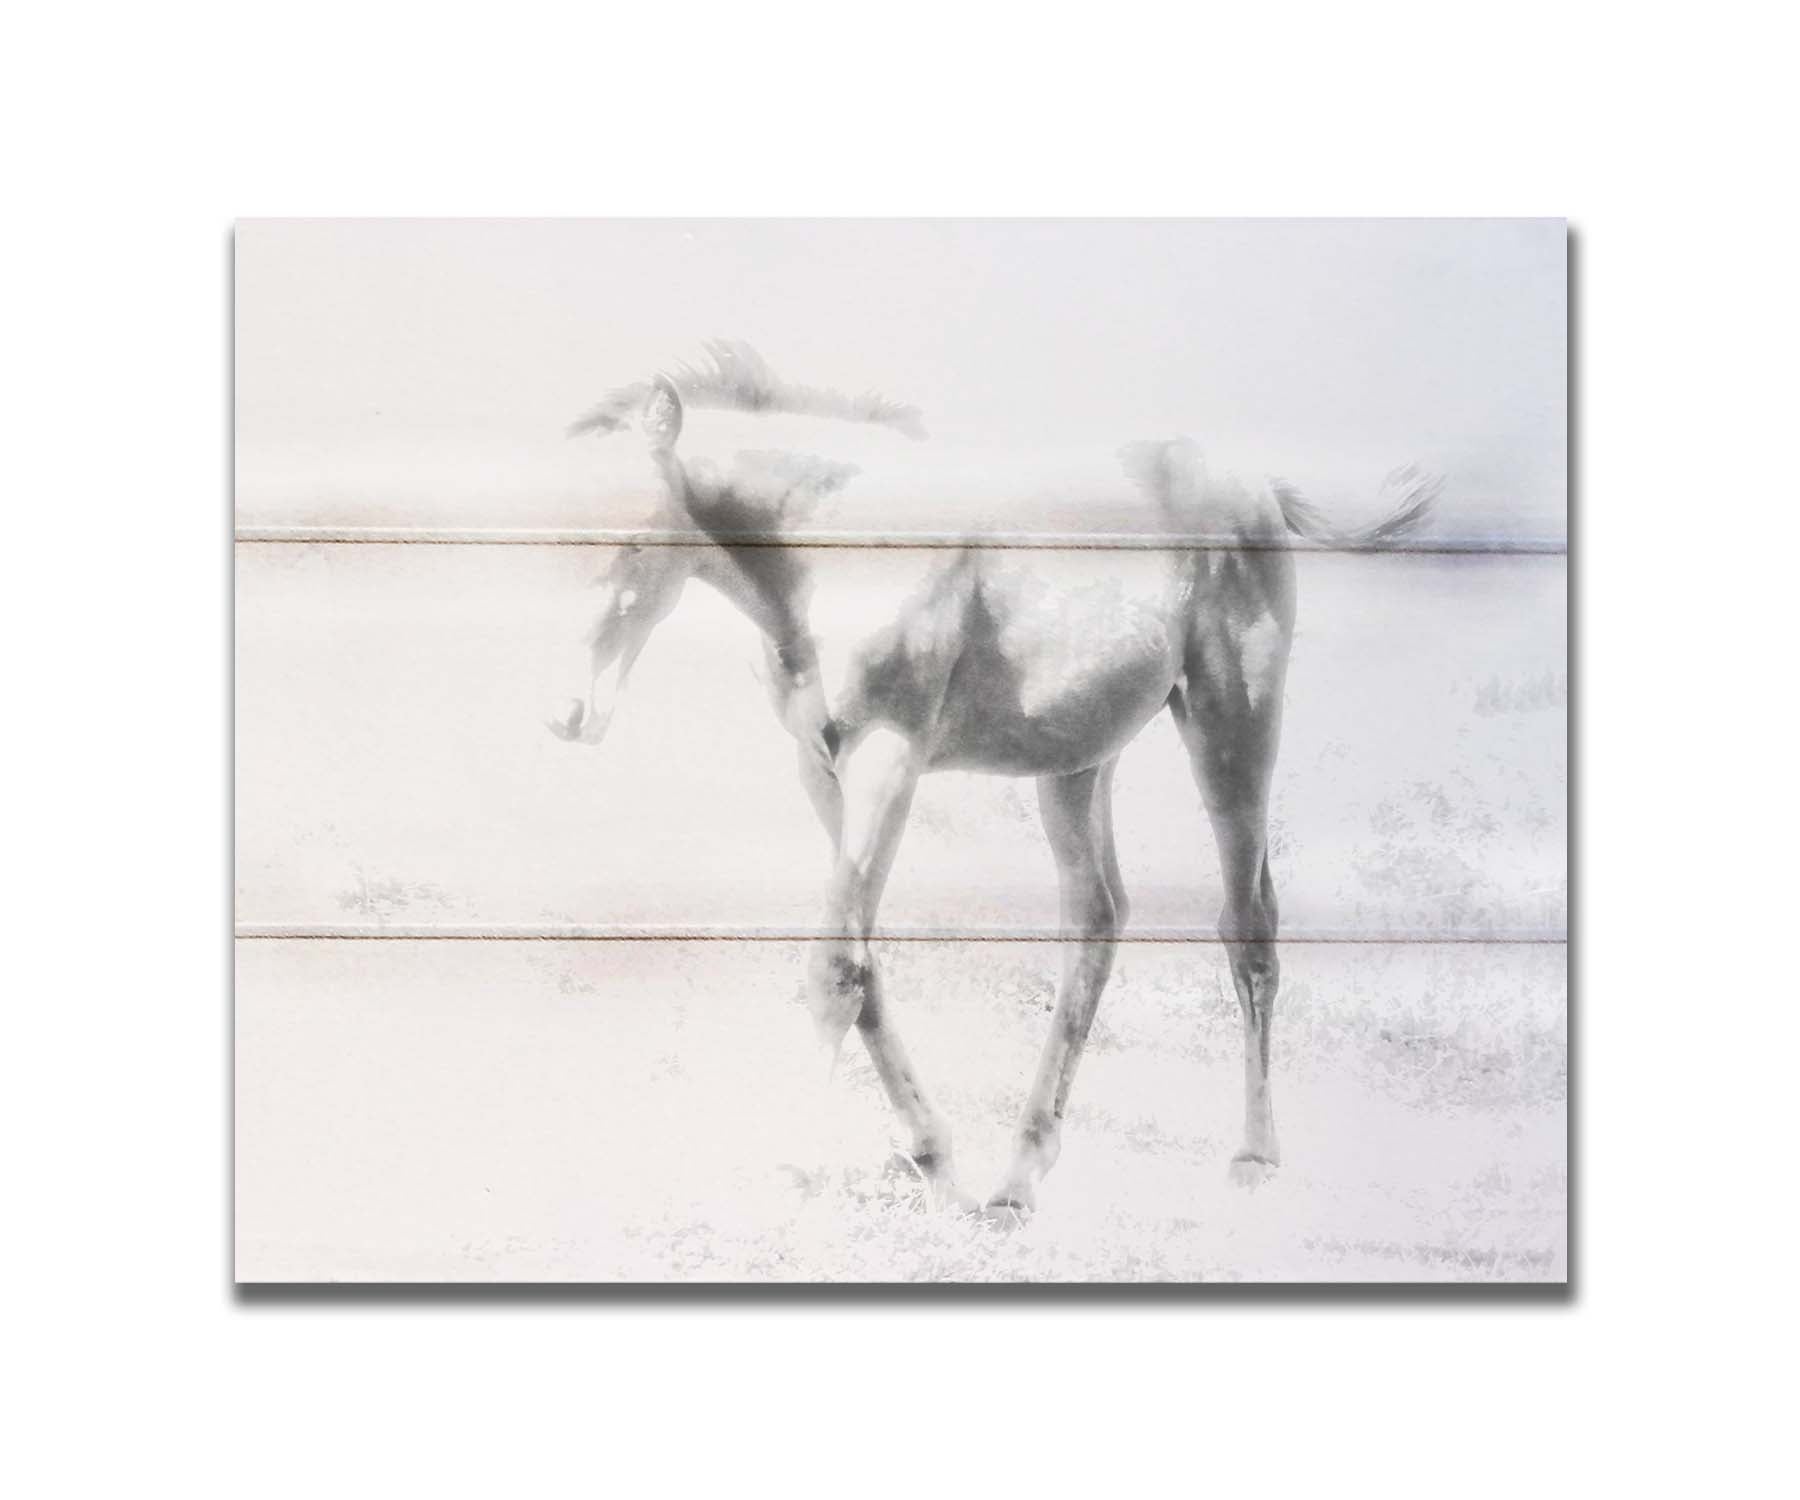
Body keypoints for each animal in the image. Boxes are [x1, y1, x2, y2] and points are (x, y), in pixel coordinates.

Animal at [547, 347, 1432, 1217]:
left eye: (632, 542)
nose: (565, 714)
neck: (835, 543)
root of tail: (1258, 489)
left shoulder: (888, 758)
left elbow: (836, 968)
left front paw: (791, 1165)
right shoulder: (819, 766)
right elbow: (865, 965)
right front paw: (932, 1157)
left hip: (1231, 726)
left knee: (1249, 924)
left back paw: (1252, 1157)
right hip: (1077, 761)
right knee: (1096, 919)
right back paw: (1018, 1180)